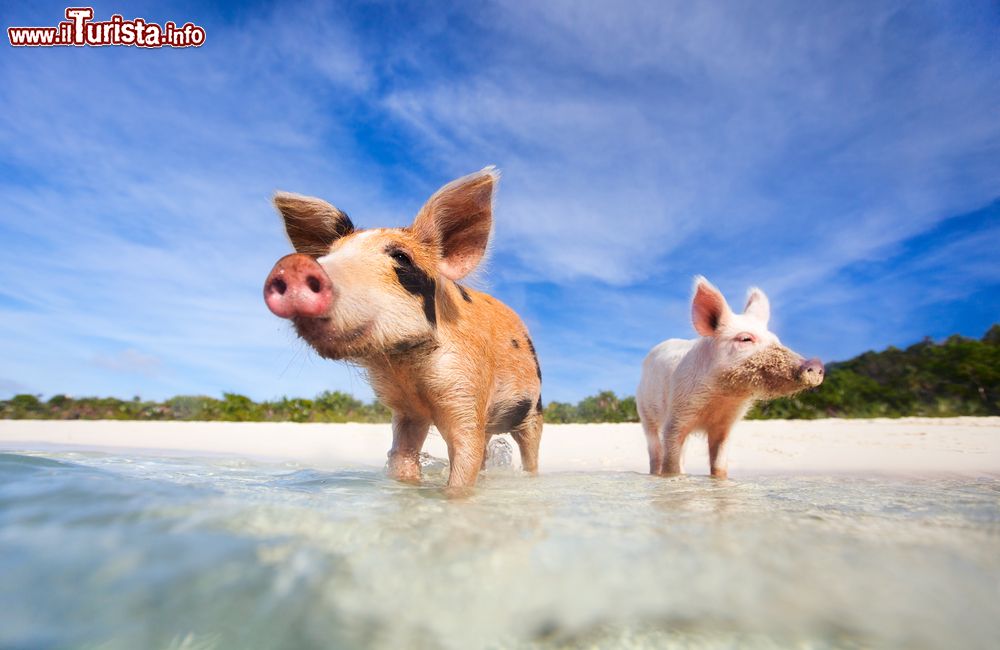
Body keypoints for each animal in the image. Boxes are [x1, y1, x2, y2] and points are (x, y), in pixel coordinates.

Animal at [262, 167, 544, 486]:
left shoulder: (467, 390)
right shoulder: (407, 411)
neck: (408, 368)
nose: (294, 266)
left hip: (534, 410)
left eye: (401, 257)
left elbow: (464, 462)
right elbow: (402, 458)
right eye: (327, 255)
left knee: (529, 451)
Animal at [636, 276, 824, 478]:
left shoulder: (726, 424)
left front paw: (718, 479)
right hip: (645, 411)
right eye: (745, 339)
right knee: (655, 450)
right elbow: (670, 463)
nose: (816, 364)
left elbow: (719, 464)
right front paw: (671, 478)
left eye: (776, 340)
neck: (722, 397)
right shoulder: (677, 414)